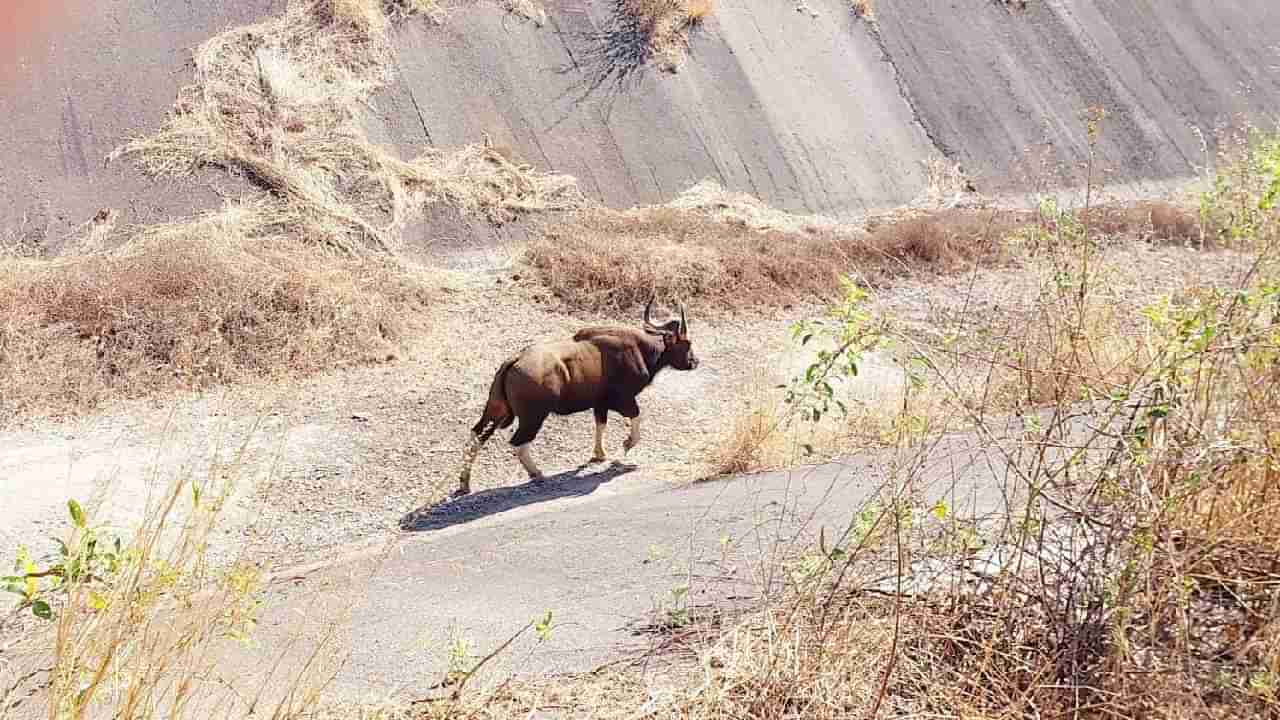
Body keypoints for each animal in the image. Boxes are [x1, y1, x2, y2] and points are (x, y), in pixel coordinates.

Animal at [458, 297, 701, 491]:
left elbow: (600, 425)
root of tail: (513, 361)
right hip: (533, 417)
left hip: (496, 410)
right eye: (687, 342)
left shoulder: (600, 404)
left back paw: (464, 483)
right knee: (517, 442)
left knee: (476, 435)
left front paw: (598, 454)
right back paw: (536, 473)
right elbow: (636, 421)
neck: (640, 349)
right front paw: (625, 446)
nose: (695, 361)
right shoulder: (624, 400)